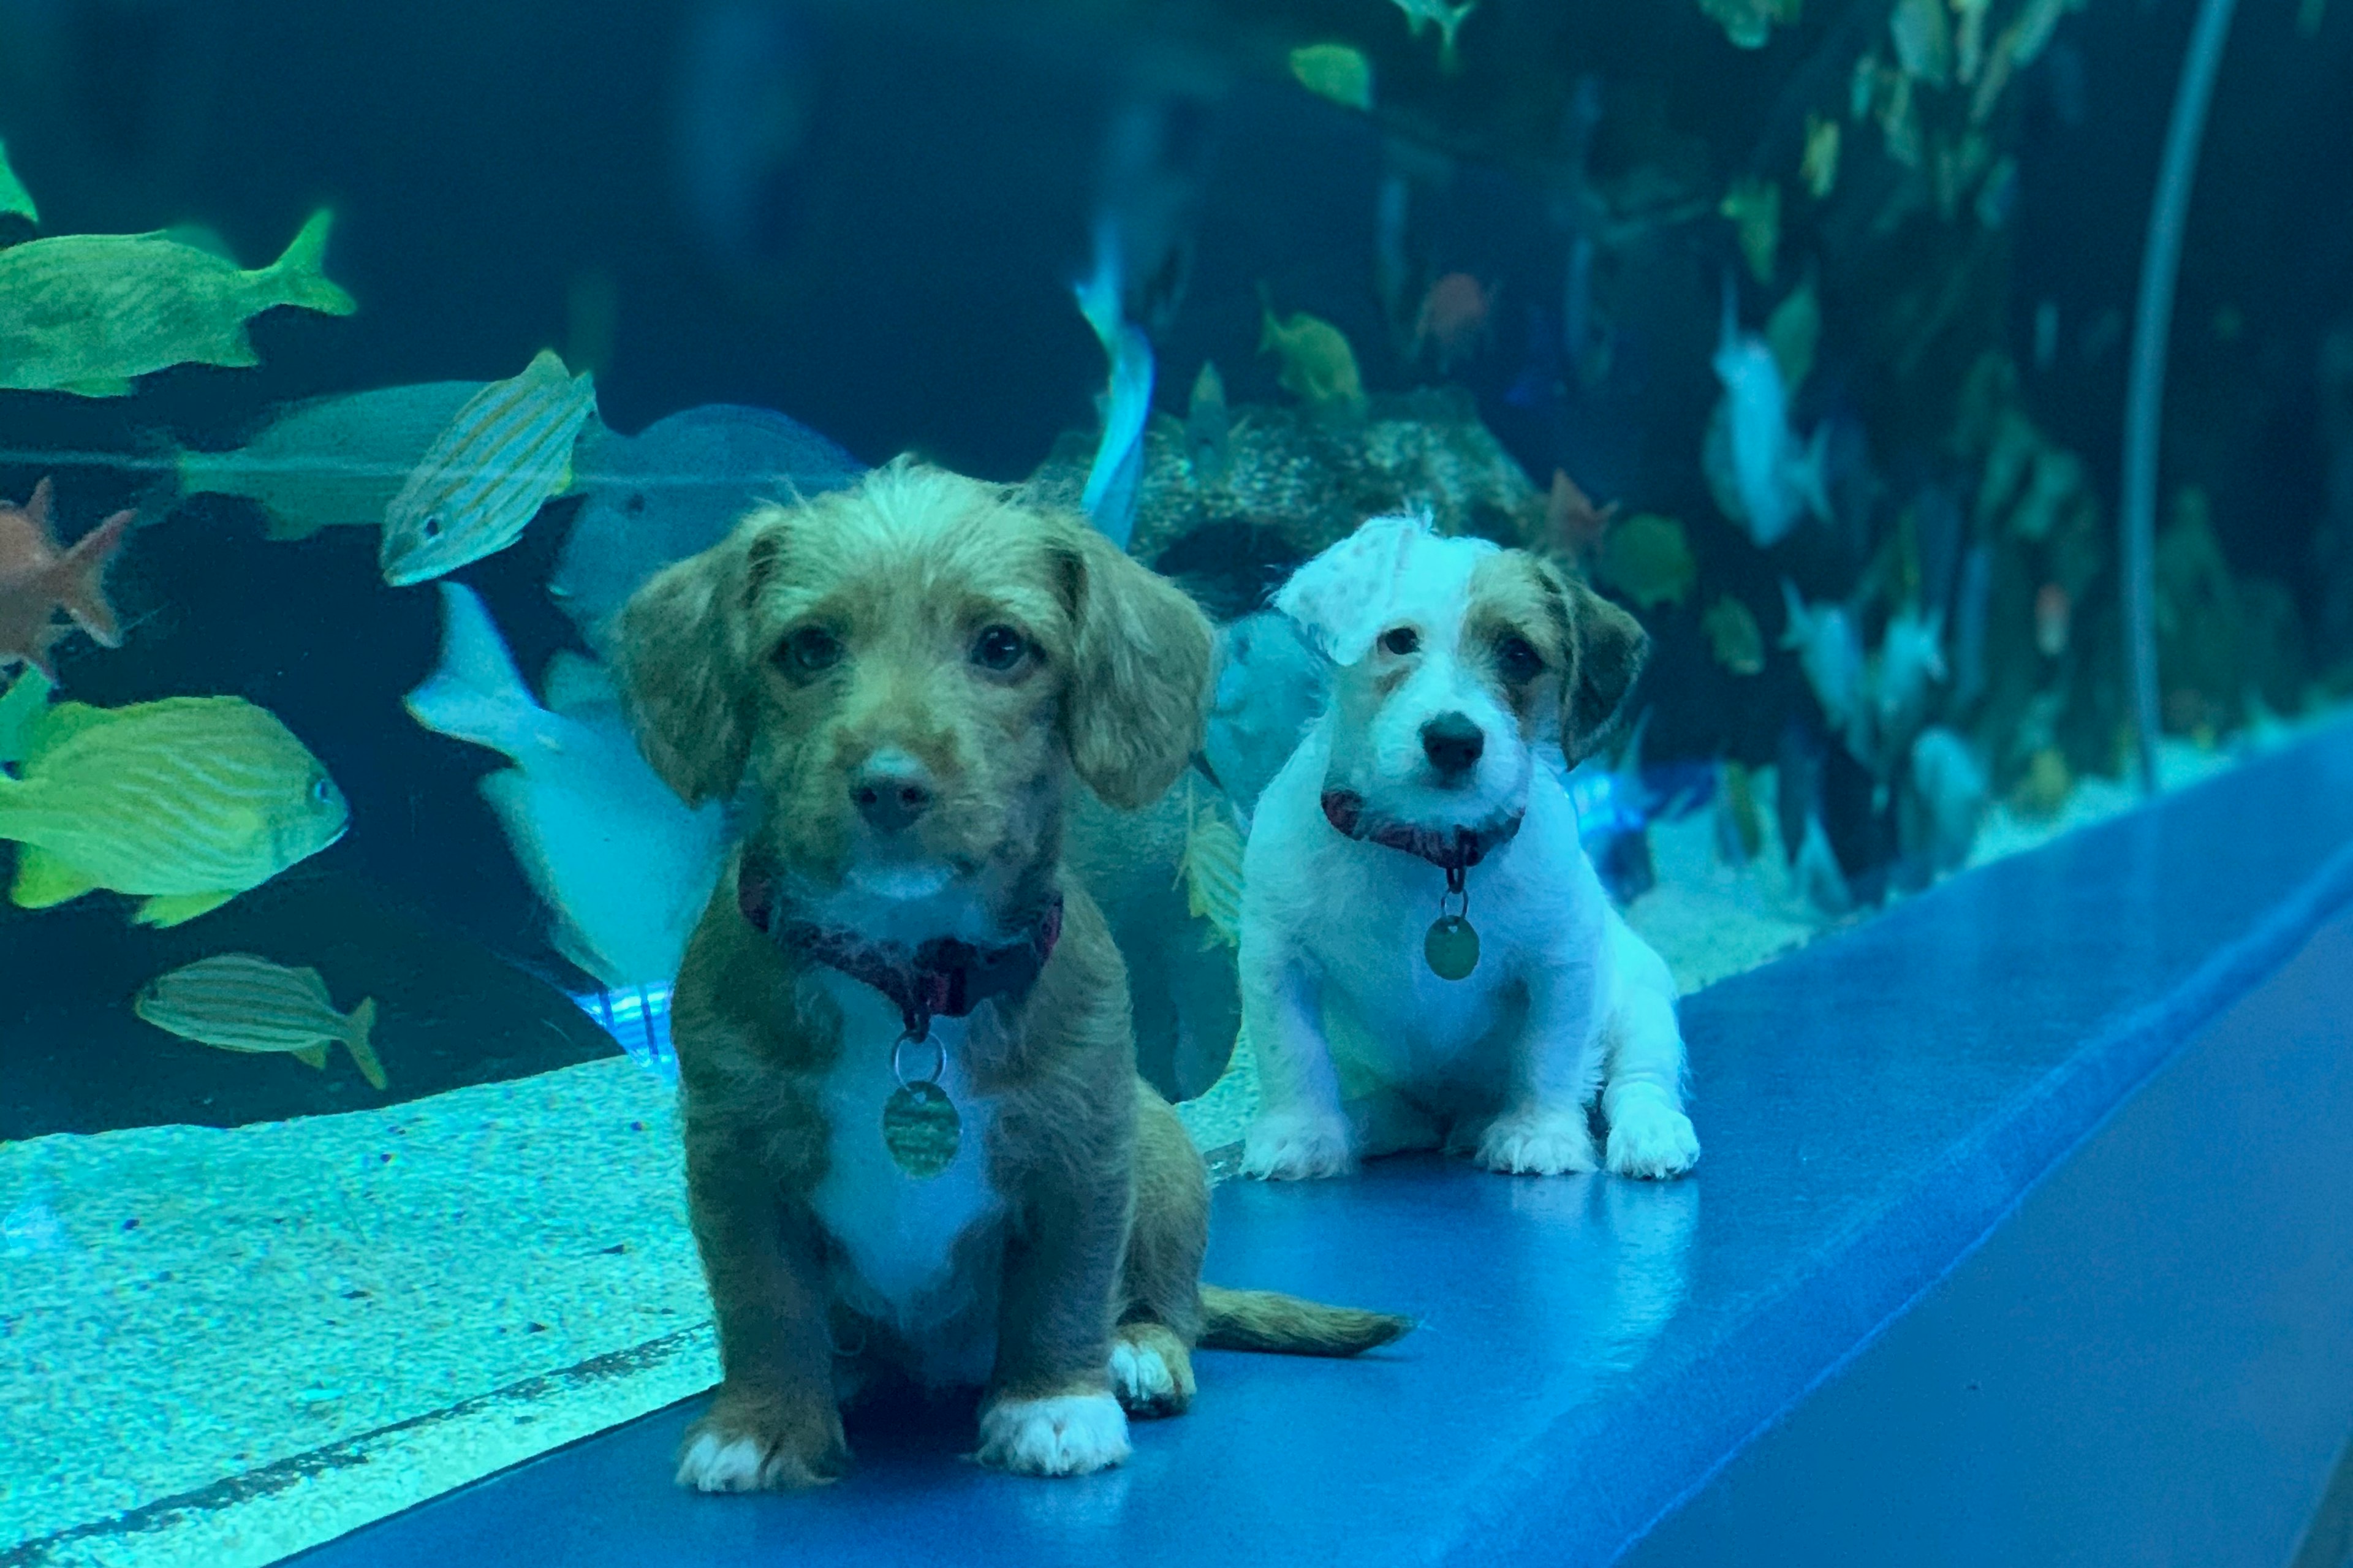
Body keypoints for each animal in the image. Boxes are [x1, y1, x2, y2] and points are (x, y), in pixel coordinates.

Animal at [616, 459, 1402, 1488]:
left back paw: (1136, 1350)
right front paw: (765, 1422)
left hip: (1166, 1151)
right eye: (808, 647)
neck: (908, 979)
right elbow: (764, 1302)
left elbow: (1063, 1286)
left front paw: (1055, 1403)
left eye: (1001, 646)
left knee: (1171, 1302)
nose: (890, 784)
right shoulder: (734, 1161)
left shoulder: (1085, 1147)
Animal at [1242, 515, 1703, 1186]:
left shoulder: (1562, 964)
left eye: (1519, 654)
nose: (1453, 740)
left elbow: (1550, 1055)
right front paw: (1302, 1135)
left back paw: (1650, 1134)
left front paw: (1540, 1134)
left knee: (1638, 1081)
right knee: (1393, 1112)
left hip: (1643, 1008)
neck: (1430, 853)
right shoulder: (1278, 959)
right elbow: (1293, 1057)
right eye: (1398, 640)